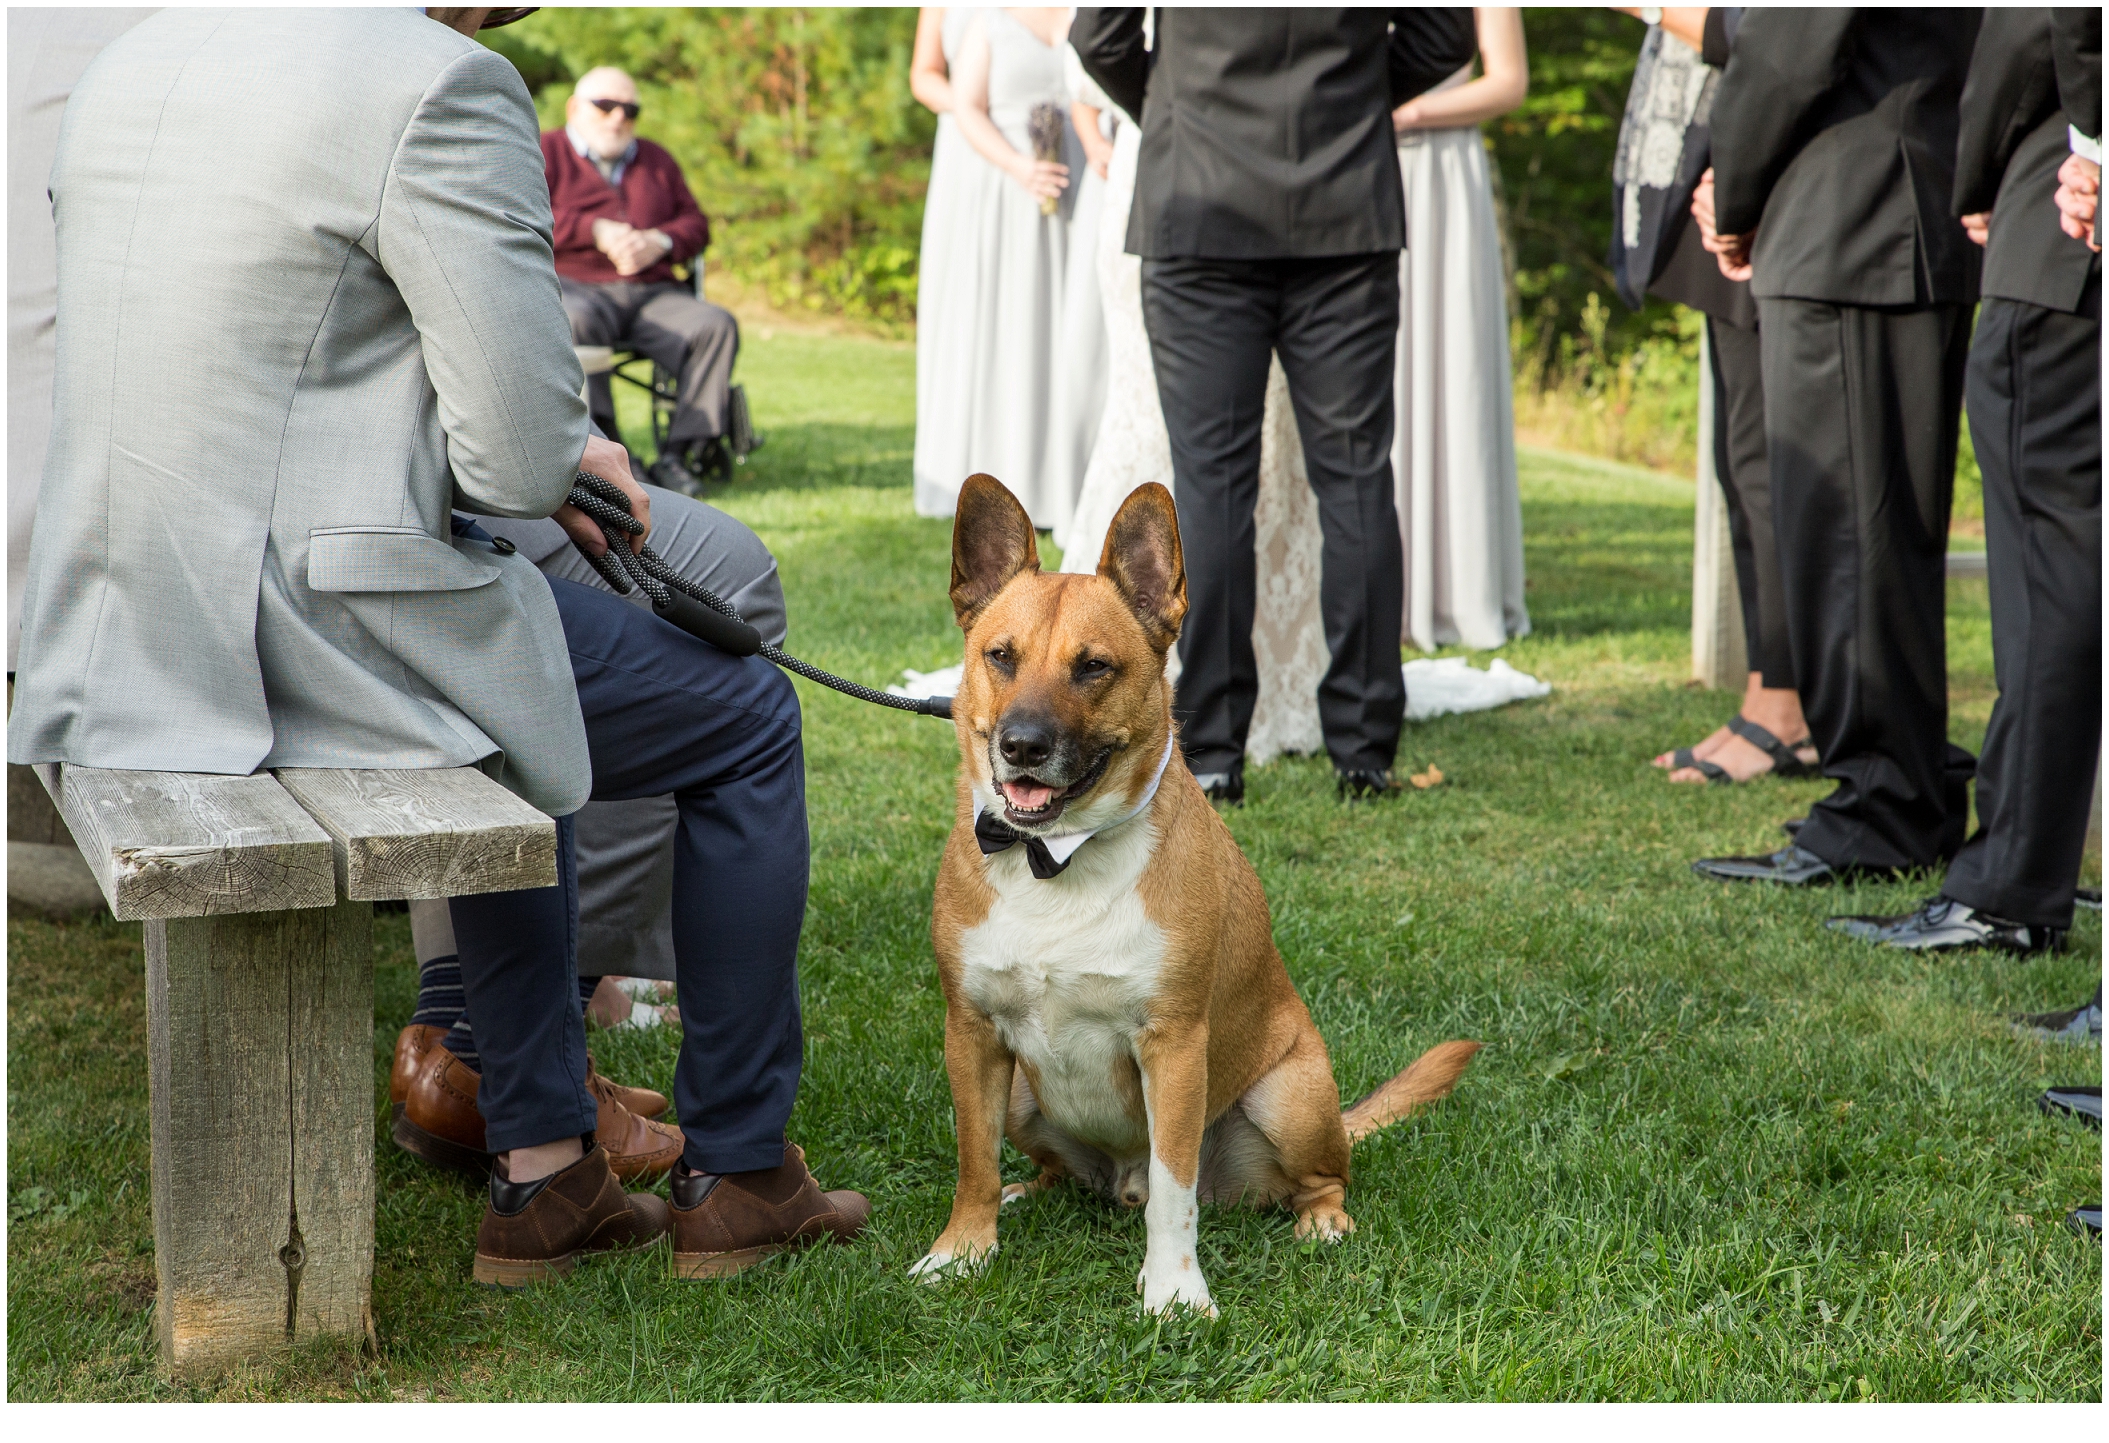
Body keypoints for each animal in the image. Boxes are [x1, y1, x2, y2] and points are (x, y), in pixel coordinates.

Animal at [911, 478, 1484, 1316]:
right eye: (1000, 655)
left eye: (1093, 667)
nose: (1020, 745)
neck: (1056, 862)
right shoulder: (972, 1033)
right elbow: (971, 1159)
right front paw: (962, 1250)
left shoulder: (1174, 1047)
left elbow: (1172, 1190)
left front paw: (1174, 1290)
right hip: (1019, 1093)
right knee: (1053, 1167)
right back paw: (1028, 1190)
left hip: (1288, 1094)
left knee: (1318, 1177)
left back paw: (1322, 1222)